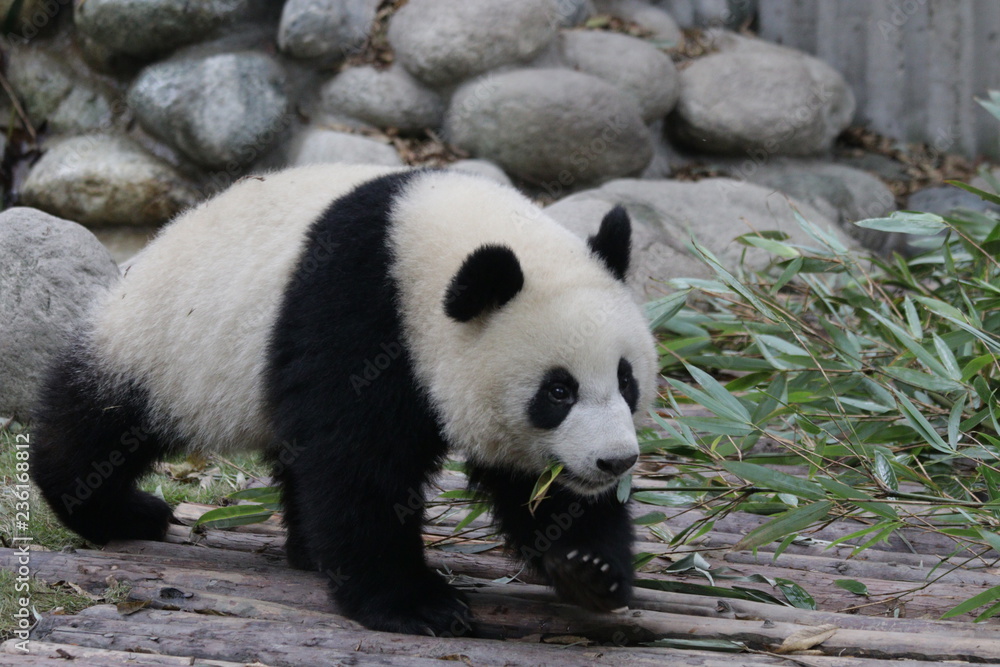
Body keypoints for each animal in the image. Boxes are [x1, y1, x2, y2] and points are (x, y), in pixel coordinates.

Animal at [30, 164, 658, 636]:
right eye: (558, 390)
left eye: (626, 380)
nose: (615, 461)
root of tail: (146, 253)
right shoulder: (359, 308)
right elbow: (356, 463)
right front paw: (418, 605)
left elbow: (535, 486)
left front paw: (590, 567)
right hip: (163, 347)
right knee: (103, 422)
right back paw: (117, 510)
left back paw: (307, 550)